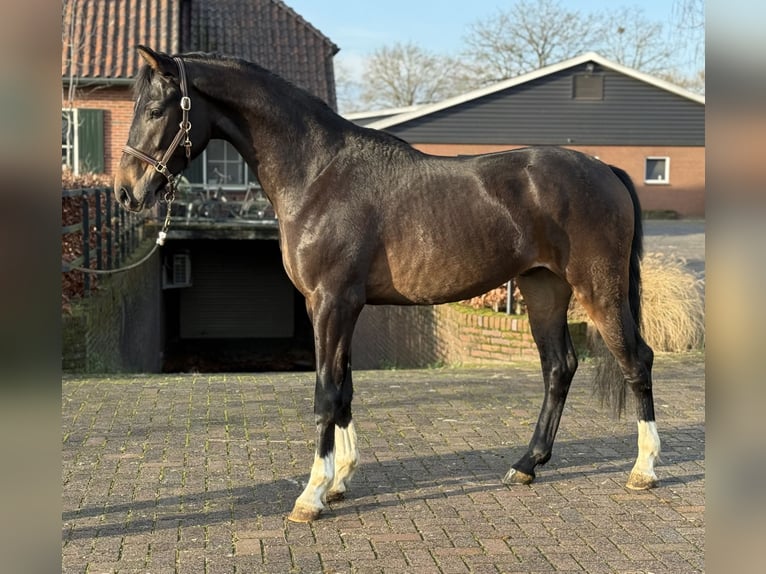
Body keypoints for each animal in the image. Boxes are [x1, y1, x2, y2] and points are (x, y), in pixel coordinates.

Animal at [115, 46, 660, 523]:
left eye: (158, 109)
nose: (126, 192)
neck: (318, 174)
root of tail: (604, 168)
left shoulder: (332, 303)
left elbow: (326, 393)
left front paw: (311, 495)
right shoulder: (332, 306)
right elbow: (344, 388)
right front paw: (339, 481)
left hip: (598, 288)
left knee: (636, 360)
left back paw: (643, 470)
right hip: (543, 289)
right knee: (558, 367)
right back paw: (526, 465)